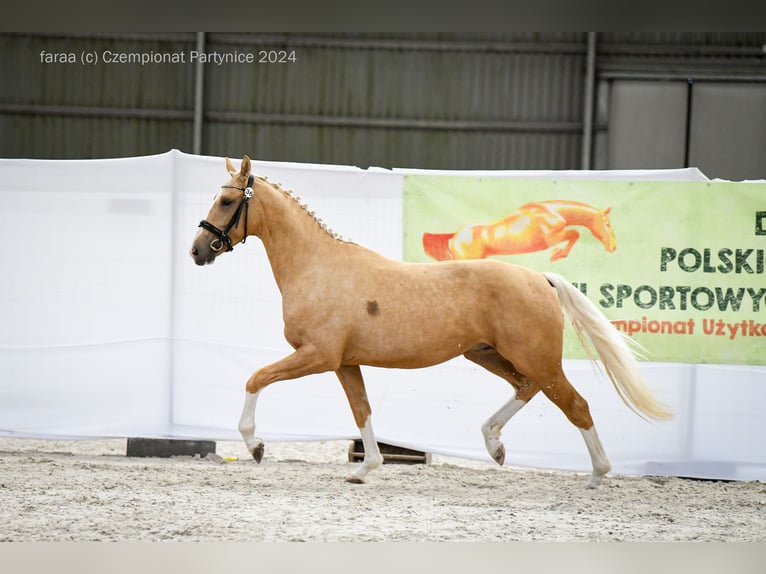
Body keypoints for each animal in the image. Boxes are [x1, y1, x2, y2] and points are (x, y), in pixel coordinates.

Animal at [424, 201, 616, 262]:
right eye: (607, 223)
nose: (613, 247)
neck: (551, 211)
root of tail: (455, 236)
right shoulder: (551, 238)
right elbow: (574, 233)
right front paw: (556, 255)